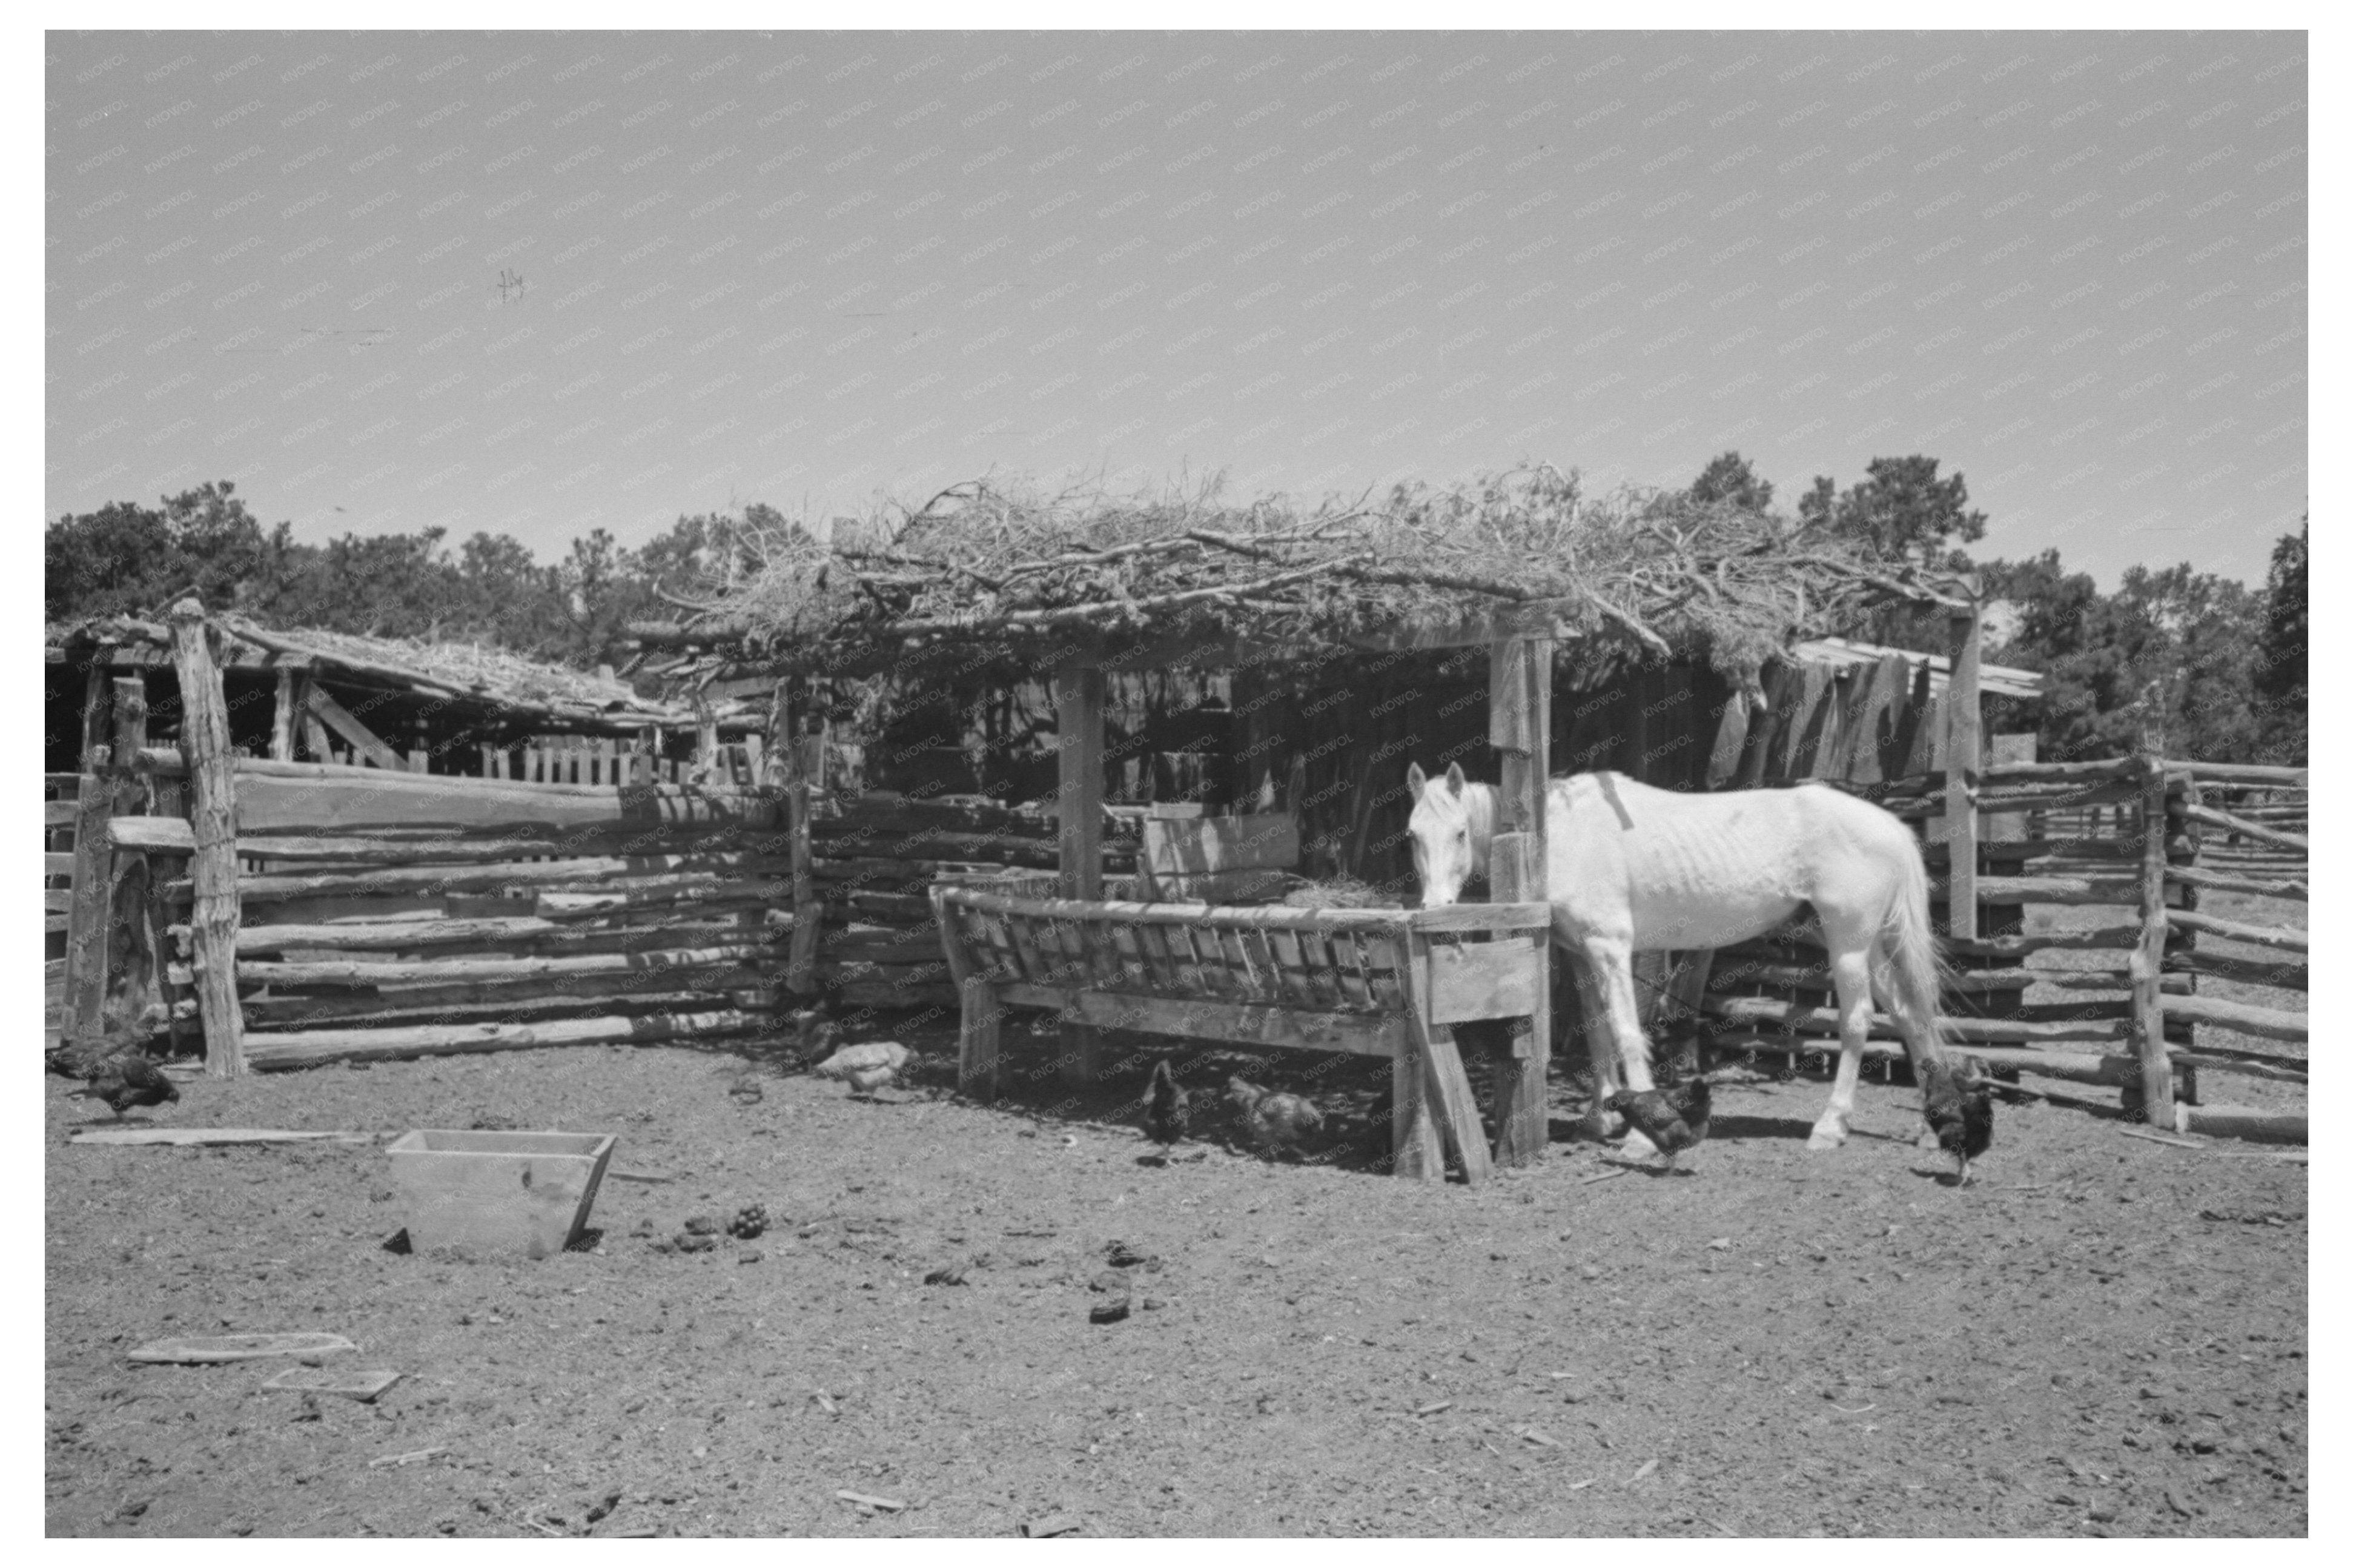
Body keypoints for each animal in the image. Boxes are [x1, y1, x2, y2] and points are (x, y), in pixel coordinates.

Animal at [1403, 760, 1951, 1153]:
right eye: (1412, 835)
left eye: (1459, 833)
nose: (1433, 908)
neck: (1562, 833)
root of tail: (1891, 824)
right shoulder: (1581, 955)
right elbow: (1596, 1032)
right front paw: (1599, 1119)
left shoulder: (1609, 947)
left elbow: (1626, 1033)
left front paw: (1639, 1136)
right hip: (1872, 946)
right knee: (1911, 1015)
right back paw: (1930, 1128)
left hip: (1849, 944)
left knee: (1857, 1022)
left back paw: (1829, 1127)